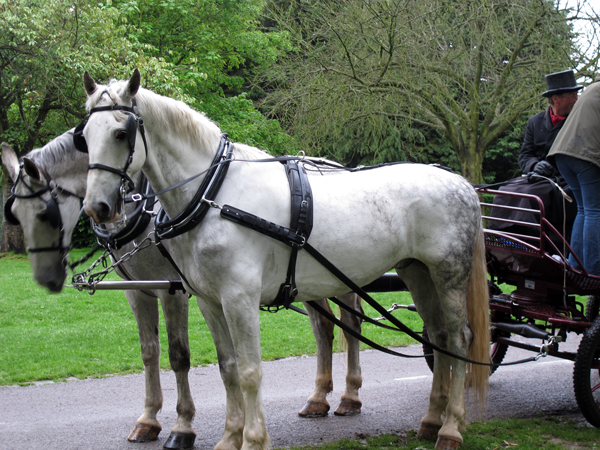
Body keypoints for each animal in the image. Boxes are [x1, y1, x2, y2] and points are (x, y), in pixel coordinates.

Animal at [1, 133, 360, 442]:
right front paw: (148, 419)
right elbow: (149, 352)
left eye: (44, 213)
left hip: (341, 278)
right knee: (323, 327)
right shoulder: (137, 290)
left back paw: (350, 395)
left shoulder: (173, 290)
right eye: (14, 214)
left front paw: (182, 425)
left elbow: (178, 356)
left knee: (352, 324)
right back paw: (318, 398)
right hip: (307, 281)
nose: (47, 278)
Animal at [81, 68, 492, 448]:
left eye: (121, 133)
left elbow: (249, 371)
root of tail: (461, 184)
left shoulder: (239, 298)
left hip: (448, 274)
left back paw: (451, 427)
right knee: (437, 337)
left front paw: (252, 439)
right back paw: (431, 419)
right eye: (84, 136)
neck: (213, 193)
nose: (97, 208)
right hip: (417, 273)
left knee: (459, 340)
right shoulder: (208, 300)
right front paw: (230, 437)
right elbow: (228, 368)